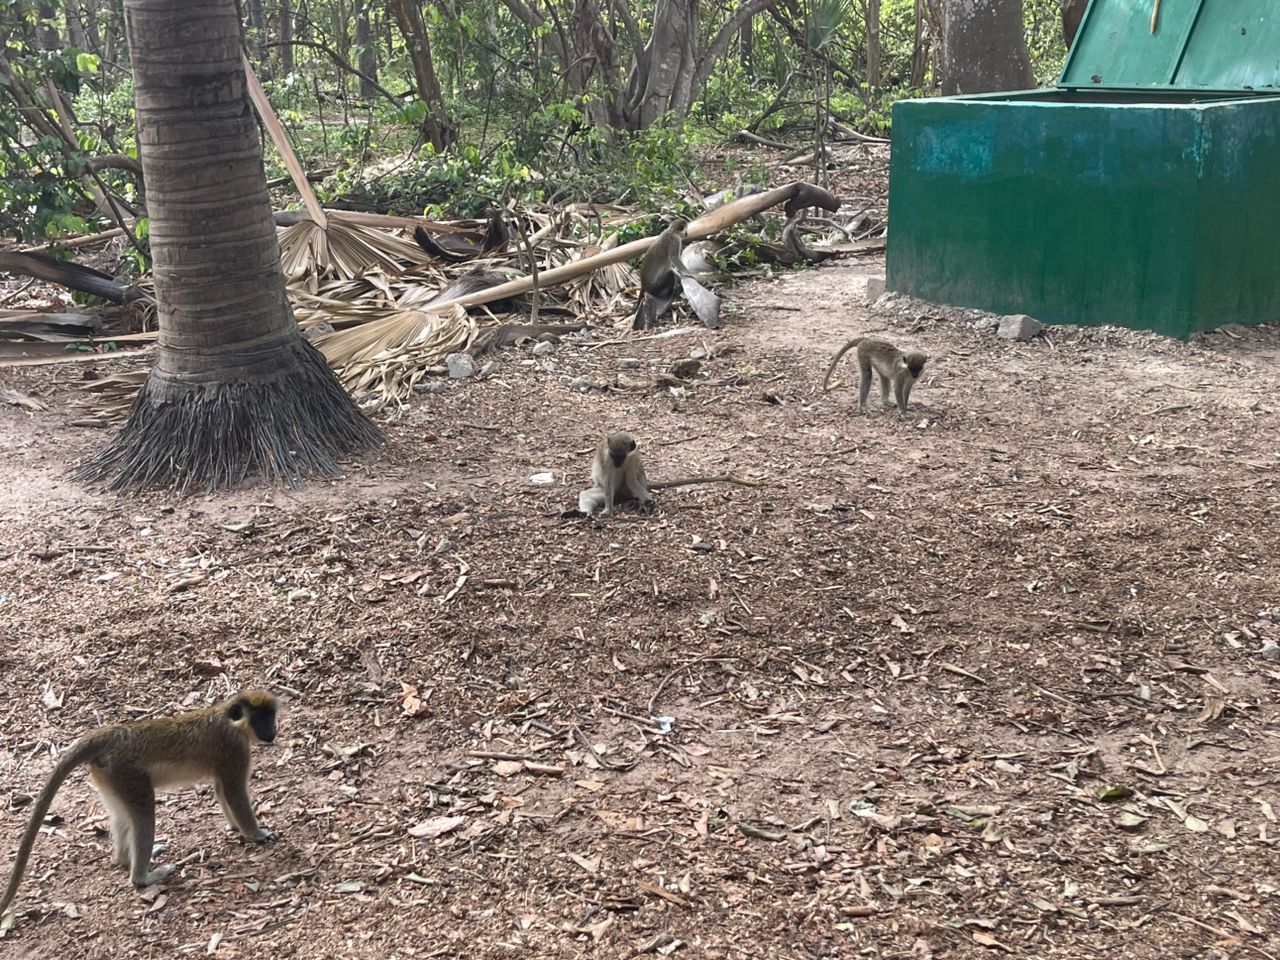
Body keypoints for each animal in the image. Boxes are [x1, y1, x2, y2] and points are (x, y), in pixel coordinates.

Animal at [1, 691, 279, 916]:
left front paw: (234, 827)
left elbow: (221, 790)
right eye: (261, 718)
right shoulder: (234, 747)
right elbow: (234, 792)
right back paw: (142, 878)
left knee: (123, 815)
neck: (229, 719)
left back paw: (126, 860)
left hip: (110, 777)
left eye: (271, 716)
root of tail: (113, 734)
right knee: (144, 812)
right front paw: (256, 834)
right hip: (127, 773)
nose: (272, 730)